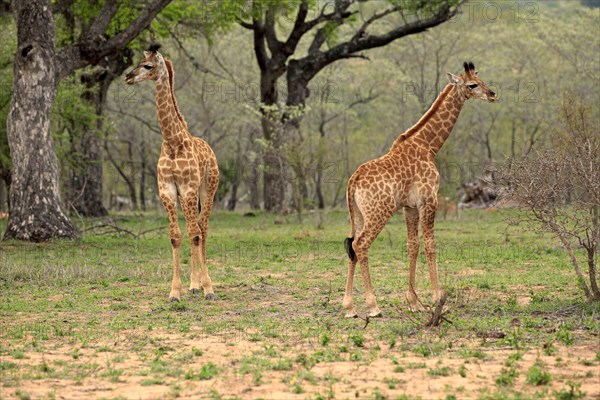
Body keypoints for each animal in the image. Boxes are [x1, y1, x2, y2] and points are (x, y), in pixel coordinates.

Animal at [125, 44, 219, 300]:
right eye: (139, 62)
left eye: (148, 66)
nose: (128, 77)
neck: (172, 141)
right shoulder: (167, 190)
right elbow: (176, 236)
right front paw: (175, 291)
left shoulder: (188, 189)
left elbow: (195, 234)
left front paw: (208, 288)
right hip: (187, 197)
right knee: (193, 228)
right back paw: (194, 285)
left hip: (207, 189)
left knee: (202, 229)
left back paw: (204, 285)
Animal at [344, 61, 494, 318]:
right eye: (473, 84)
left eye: (481, 80)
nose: (493, 94)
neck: (428, 145)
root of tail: (353, 181)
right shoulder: (429, 200)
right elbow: (430, 244)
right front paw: (437, 298)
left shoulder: (409, 206)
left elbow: (412, 245)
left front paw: (413, 301)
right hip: (379, 213)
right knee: (360, 244)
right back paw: (373, 306)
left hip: (358, 215)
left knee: (351, 245)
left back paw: (349, 307)